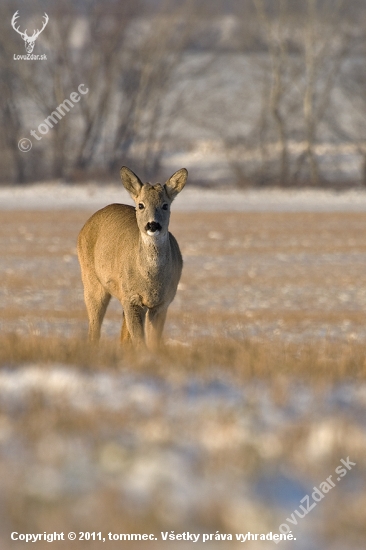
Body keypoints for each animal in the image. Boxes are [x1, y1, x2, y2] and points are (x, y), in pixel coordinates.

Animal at [76, 166, 187, 352]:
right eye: (141, 205)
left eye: (165, 205)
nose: (153, 225)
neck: (151, 281)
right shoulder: (132, 298)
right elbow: (140, 341)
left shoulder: (162, 303)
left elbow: (153, 341)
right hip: (91, 280)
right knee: (94, 327)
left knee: (122, 335)